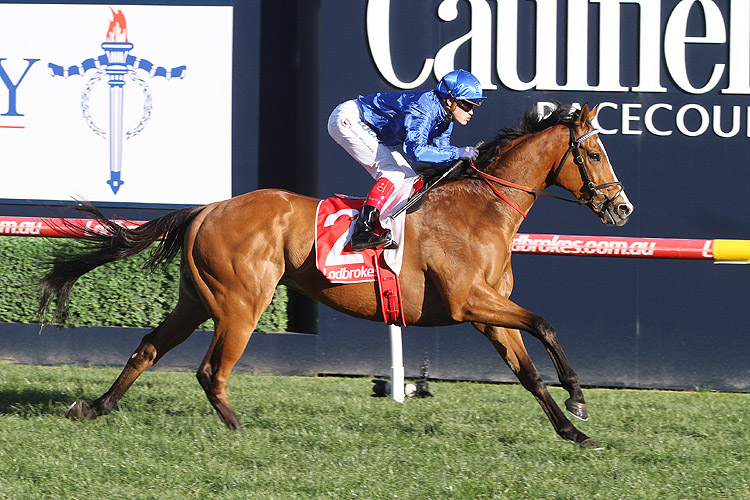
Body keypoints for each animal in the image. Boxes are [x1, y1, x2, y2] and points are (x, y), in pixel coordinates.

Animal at [38, 103, 632, 448]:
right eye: (594, 154)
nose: (621, 209)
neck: (479, 208)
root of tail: (208, 208)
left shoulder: (488, 315)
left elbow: (528, 371)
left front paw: (573, 432)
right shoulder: (470, 301)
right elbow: (545, 324)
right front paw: (579, 400)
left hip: (196, 299)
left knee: (147, 350)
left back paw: (93, 407)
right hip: (240, 303)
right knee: (211, 370)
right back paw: (240, 431)